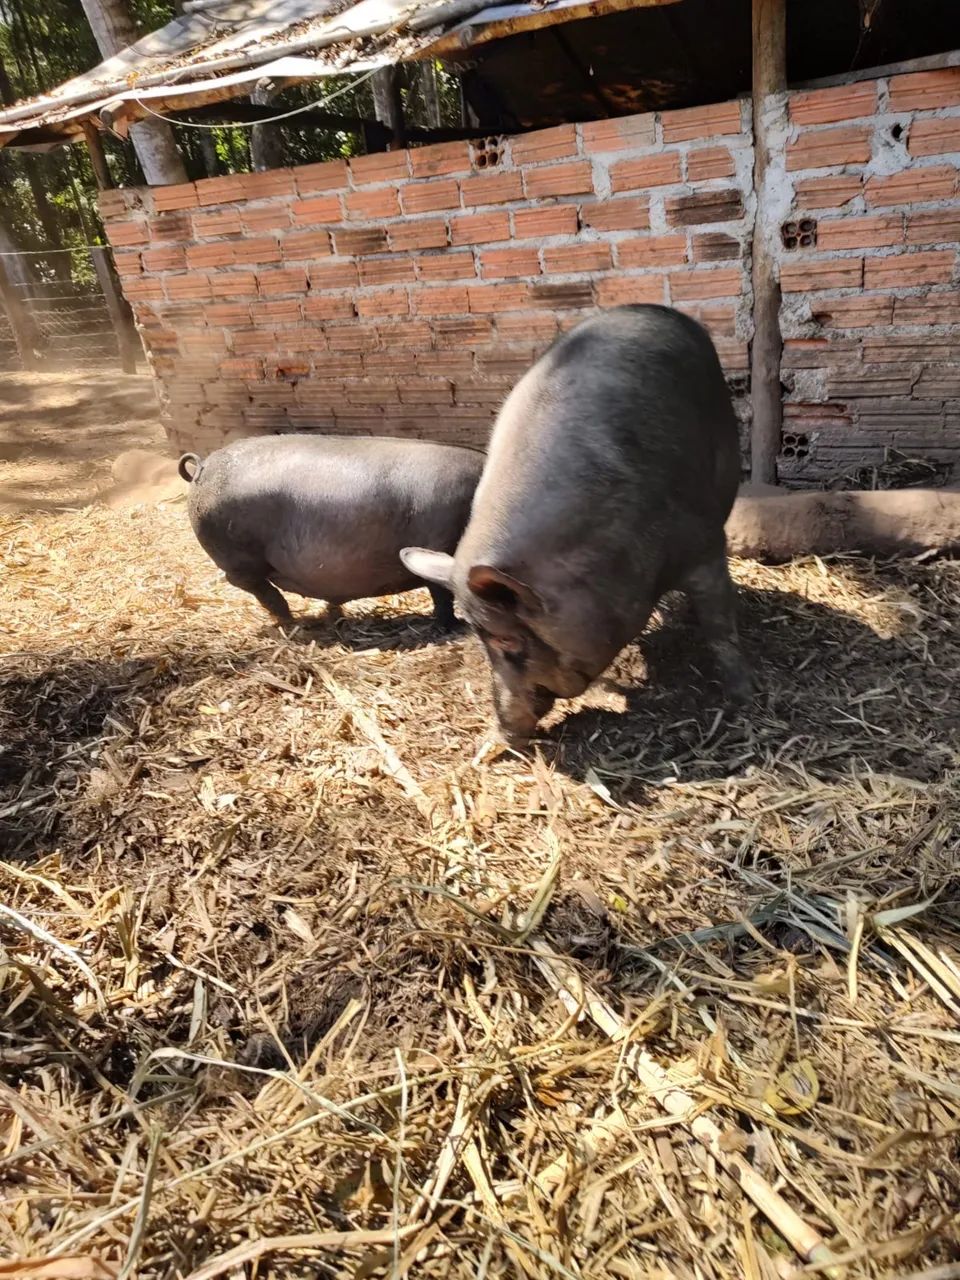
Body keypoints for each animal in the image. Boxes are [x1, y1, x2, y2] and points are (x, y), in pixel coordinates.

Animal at [178, 434, 484, 628]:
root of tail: (202, 466)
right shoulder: (439, 542)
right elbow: (441, 592)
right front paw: (453, 626)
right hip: (239, 557)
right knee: (253, 585)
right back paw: (291, 621)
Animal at [401, 304, 752, 743]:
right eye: (477, 635)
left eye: (504, 637)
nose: (505, 730)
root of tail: (645, 308)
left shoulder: (704, 545)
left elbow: (721, 629)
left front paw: (743, 697)